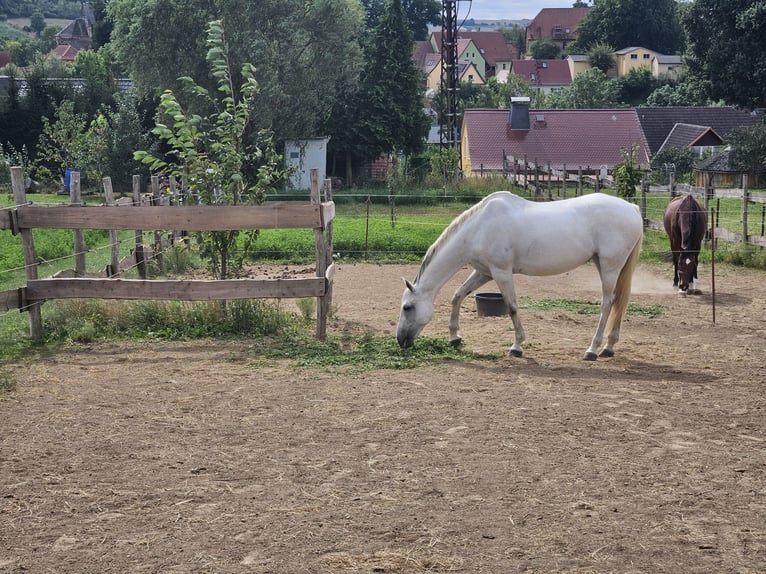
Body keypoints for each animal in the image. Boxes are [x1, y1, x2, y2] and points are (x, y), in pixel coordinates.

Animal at [400, 191, 644, 362]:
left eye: (407, 307)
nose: (400, 340)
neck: (479, 228)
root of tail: (632, 208)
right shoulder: (484, 272)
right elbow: (457, 296)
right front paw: (454, 338)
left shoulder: (501, 272)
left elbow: (512, 307)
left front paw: (517, 346)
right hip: (605, 265)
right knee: (619, 303)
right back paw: (608, 348)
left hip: (610, 267)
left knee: (607, 304)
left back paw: (592, 350)